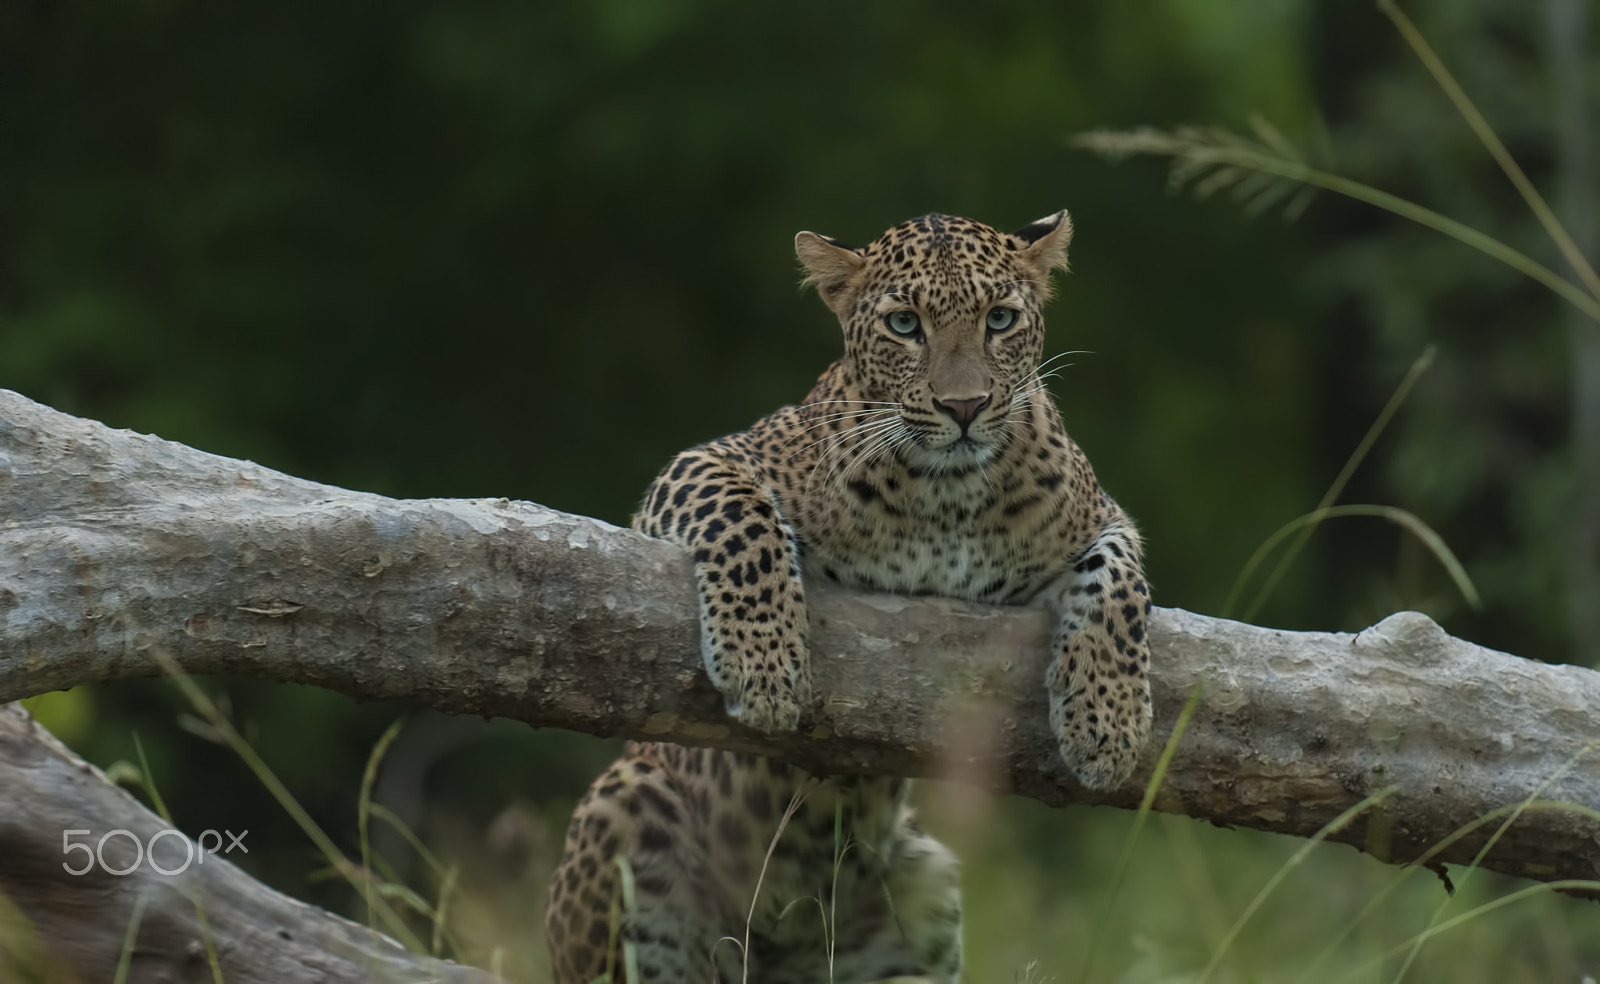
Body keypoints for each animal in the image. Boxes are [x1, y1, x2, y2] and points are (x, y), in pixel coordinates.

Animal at [544, 210, 1153, 983]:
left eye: (1001, 319)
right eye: (904, 325)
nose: (964, 406)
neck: (951, 496)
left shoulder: (1104, 518)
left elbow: (1120, 589)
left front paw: (1109, 724)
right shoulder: (710, 461)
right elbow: (742, 520)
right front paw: (764, 668)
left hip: (926, 889)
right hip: (625, 811)